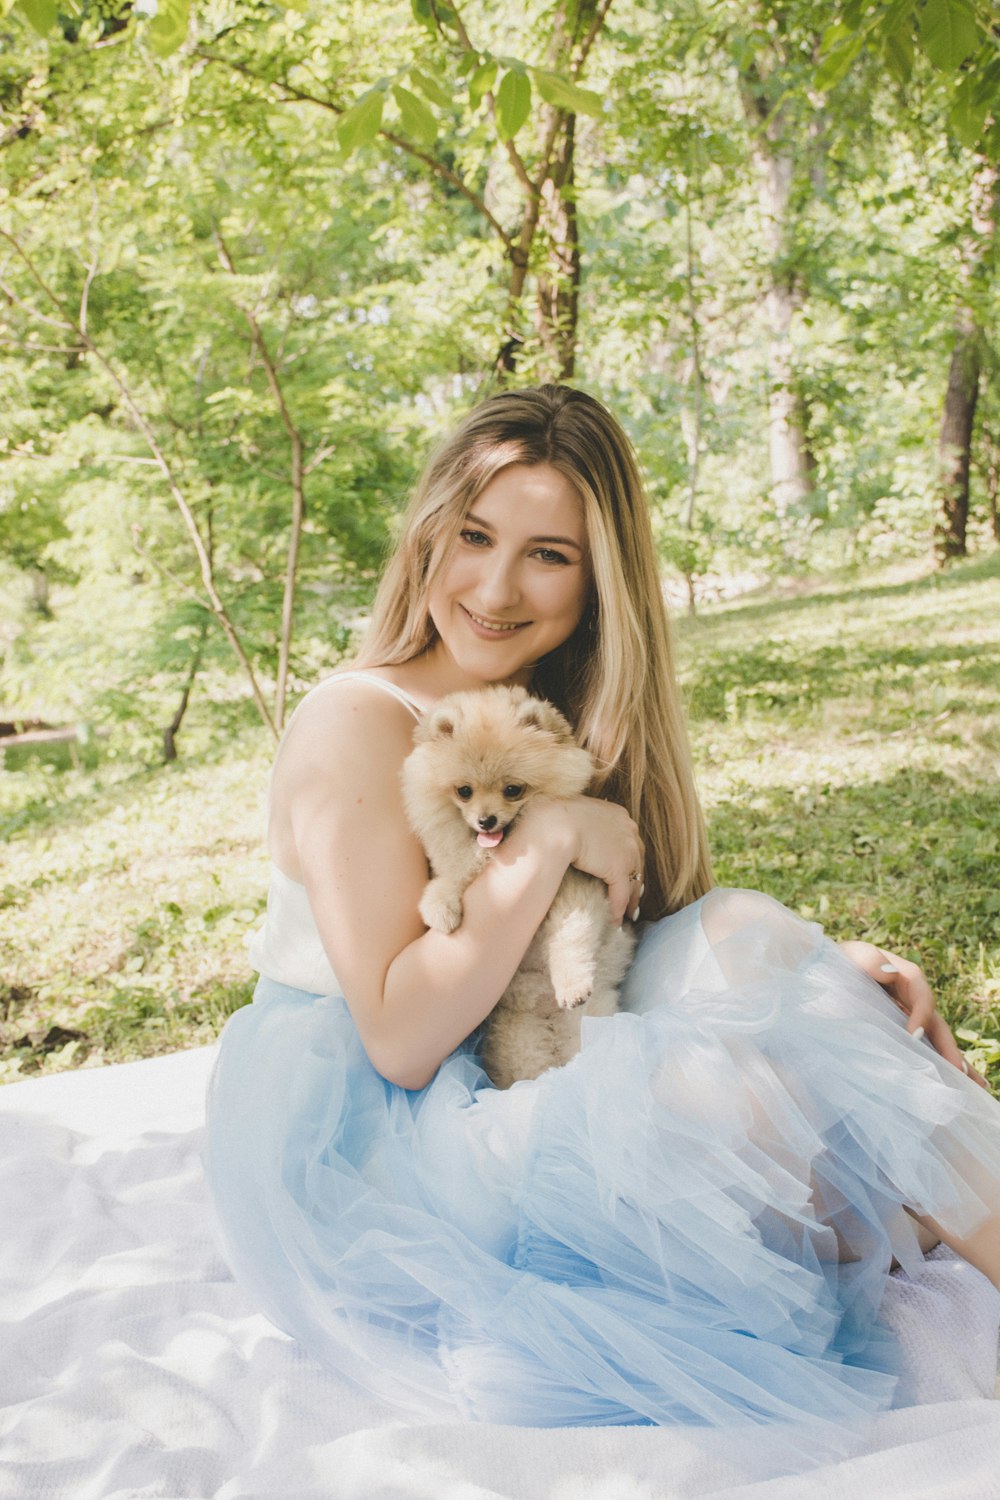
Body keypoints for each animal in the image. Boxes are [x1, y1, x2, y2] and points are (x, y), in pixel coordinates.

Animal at [398, 684, 632, 1092]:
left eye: (512, 790)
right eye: (464, 791)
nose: (485, 820)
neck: (493, 855)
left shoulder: (573, 888)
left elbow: (569, 939)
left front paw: (571, 984)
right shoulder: (459, 865)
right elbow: (449, 880)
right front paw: (441, 909)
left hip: (588, 1020)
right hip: (518, 1036)